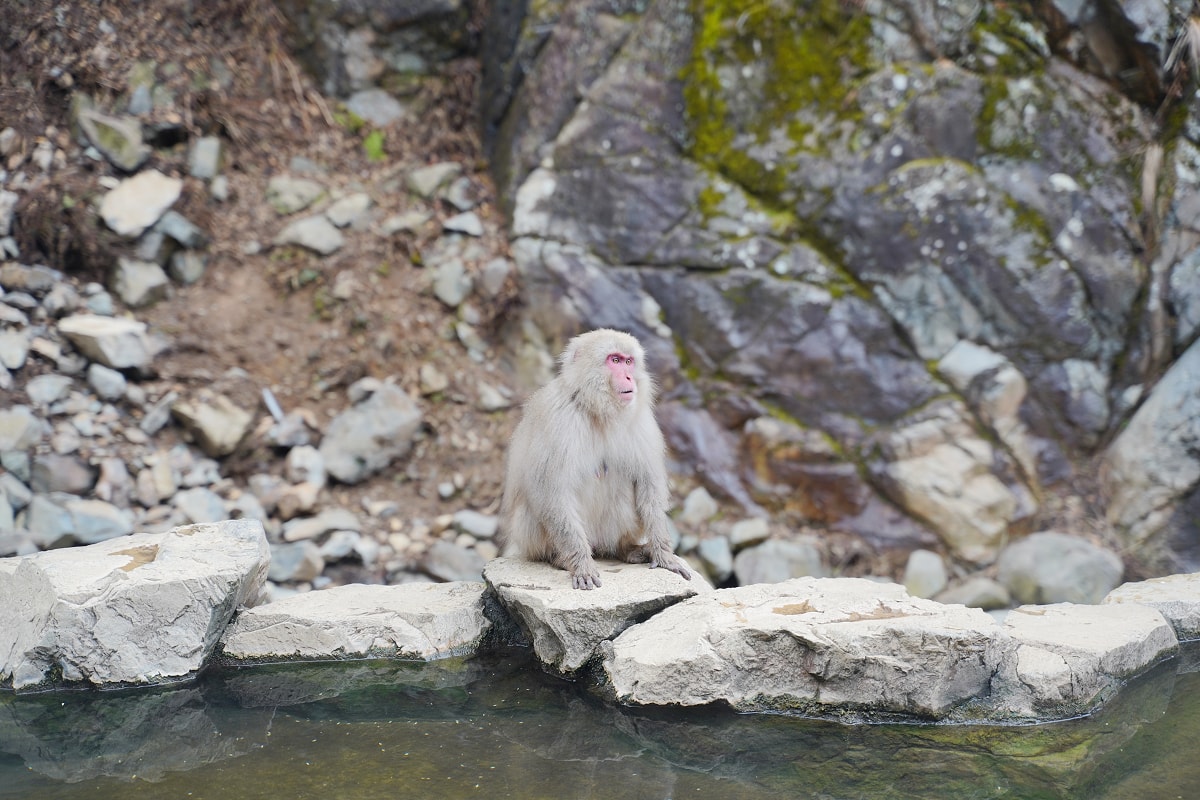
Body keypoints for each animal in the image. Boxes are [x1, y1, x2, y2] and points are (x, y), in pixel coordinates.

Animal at [498, 328, 694, 589]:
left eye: (629, 362)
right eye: (615, 360)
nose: (629, 378)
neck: (597, 409)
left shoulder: (642, 420)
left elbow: (648, 483)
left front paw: (663, 555)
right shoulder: (557, 419)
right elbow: (551, 492)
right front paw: (580, 564)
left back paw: (624, 549)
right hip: (531, 538)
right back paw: (560, 558)